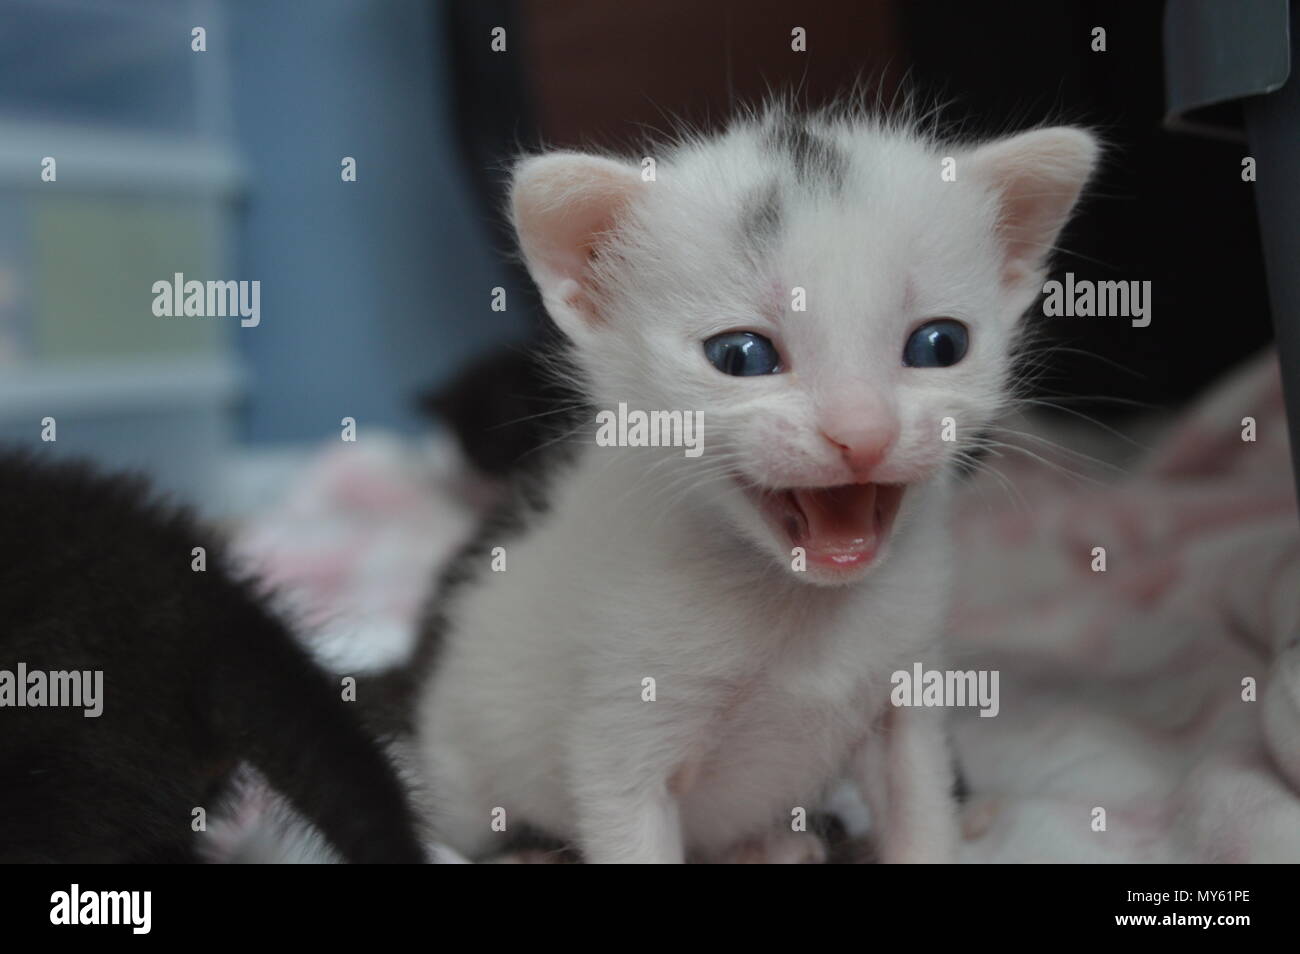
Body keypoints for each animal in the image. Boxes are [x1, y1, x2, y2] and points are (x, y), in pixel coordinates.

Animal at [410, 104, 1092, 868]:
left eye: (940, 345)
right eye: (741, 356)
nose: (864, 434)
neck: (797, 603)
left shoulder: (906, 687)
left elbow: (919, 804)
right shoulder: (619, 723)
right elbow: (628, 822)